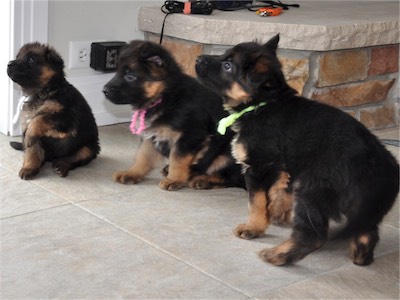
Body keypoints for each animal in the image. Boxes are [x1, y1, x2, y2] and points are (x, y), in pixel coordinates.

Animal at [7, 42, 100, 178]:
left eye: (31, 59)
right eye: (17, 57)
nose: (8, 64)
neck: (44, 92)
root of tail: (52, 158)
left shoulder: (65, 118)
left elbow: (38, 119)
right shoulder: (30, 126)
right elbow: (32, 151)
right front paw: (29, 168)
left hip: (88, 148)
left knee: (72, 159)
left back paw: (61, 166)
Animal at [103, 40, 244, 190]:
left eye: (130, 76)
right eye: (117, 72)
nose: (104, 90)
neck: (164, 96)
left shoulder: (189, 137)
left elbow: (178, 160)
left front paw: (174, 180)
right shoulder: (151, 135)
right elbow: (142, 156)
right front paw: (132, 173)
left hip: (228, 153)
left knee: (231, 178)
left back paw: (203, 180)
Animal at [195, 34, 398, 266]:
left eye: (227, 66)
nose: (198, 59)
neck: (262, 104)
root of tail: (382, 164)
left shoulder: (259, 166)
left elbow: (256, 201)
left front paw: (253, 228)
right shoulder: (285, 165)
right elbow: (279, 189)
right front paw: (276, 212)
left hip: (312, 191)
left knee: (314, 236)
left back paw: (276, 255)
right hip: (360, 205)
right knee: (367, 231)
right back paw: (360, 256)